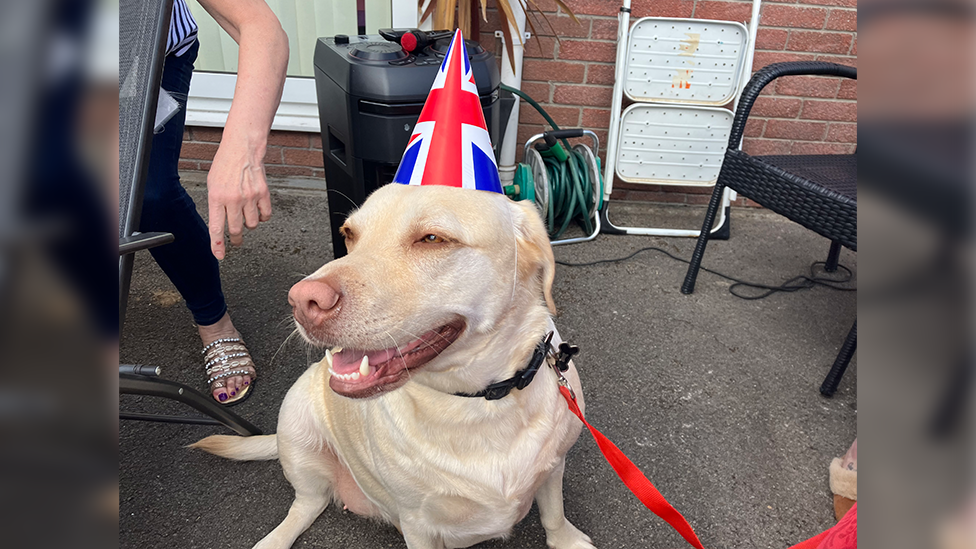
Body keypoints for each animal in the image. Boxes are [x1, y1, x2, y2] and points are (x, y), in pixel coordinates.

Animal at [187, 183, 592, 548]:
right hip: (298, 431)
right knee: (306, 505)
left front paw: (566, 541)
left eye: (432, 238)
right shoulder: (418, 523)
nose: (303, 301)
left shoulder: (554, 466)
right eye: (349, 234)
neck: (480, 401)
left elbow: (554, 514)